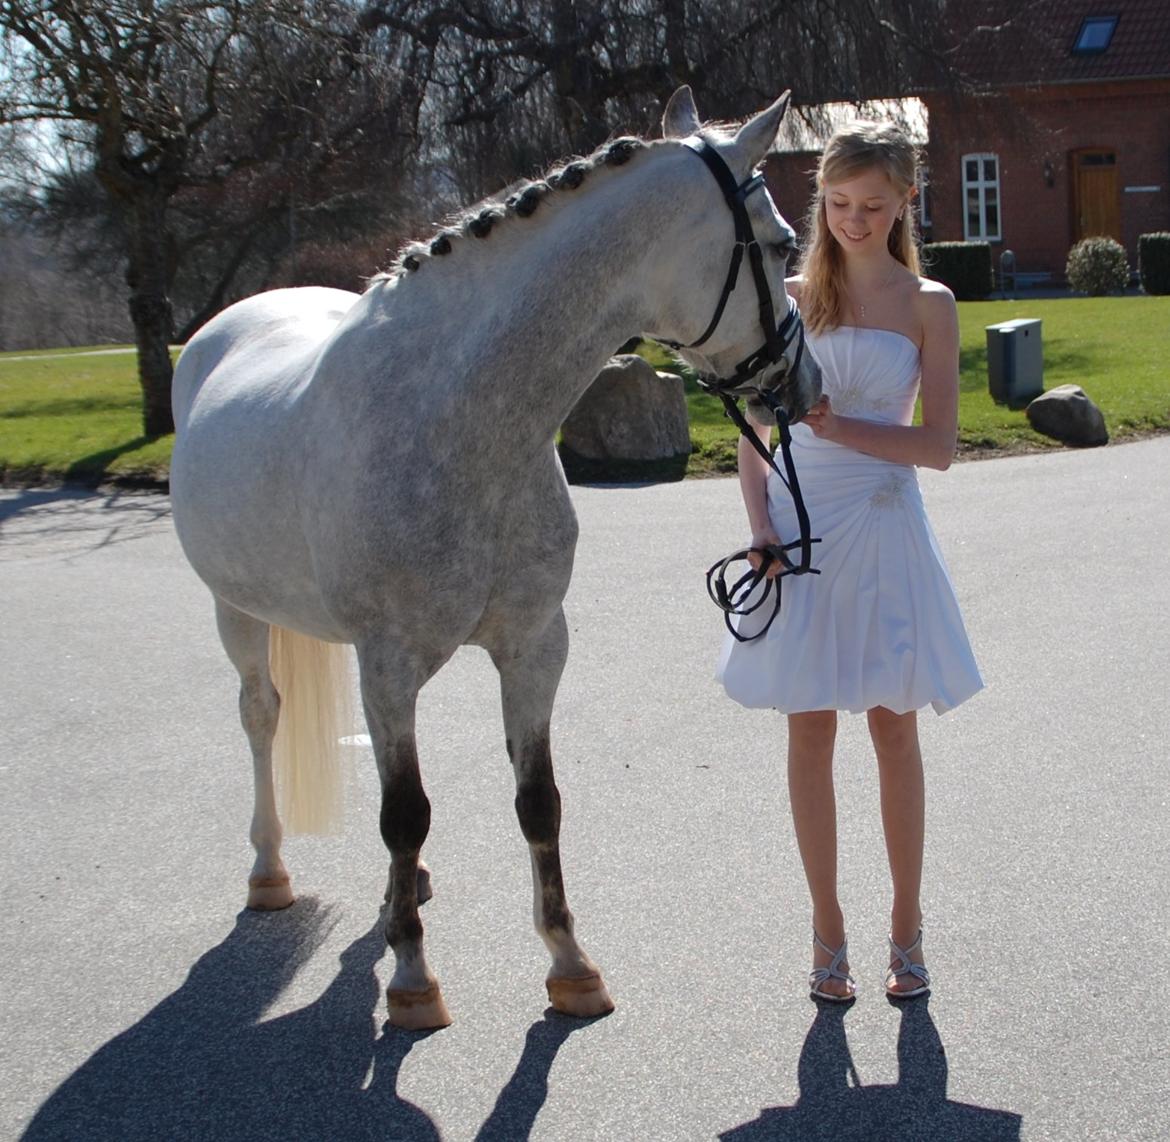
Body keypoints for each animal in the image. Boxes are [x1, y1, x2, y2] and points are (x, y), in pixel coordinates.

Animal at [169, 85, 822, 1031]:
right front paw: (413, 981)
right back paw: (269, 872)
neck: (459, 418)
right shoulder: (389, 660)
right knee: (262, 717)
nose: (804, 385)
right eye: (779, 245)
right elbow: (405, 813)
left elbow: (535, 801)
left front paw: (571, 965)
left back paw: (399, 894)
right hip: (238, 612)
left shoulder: (534, 644)